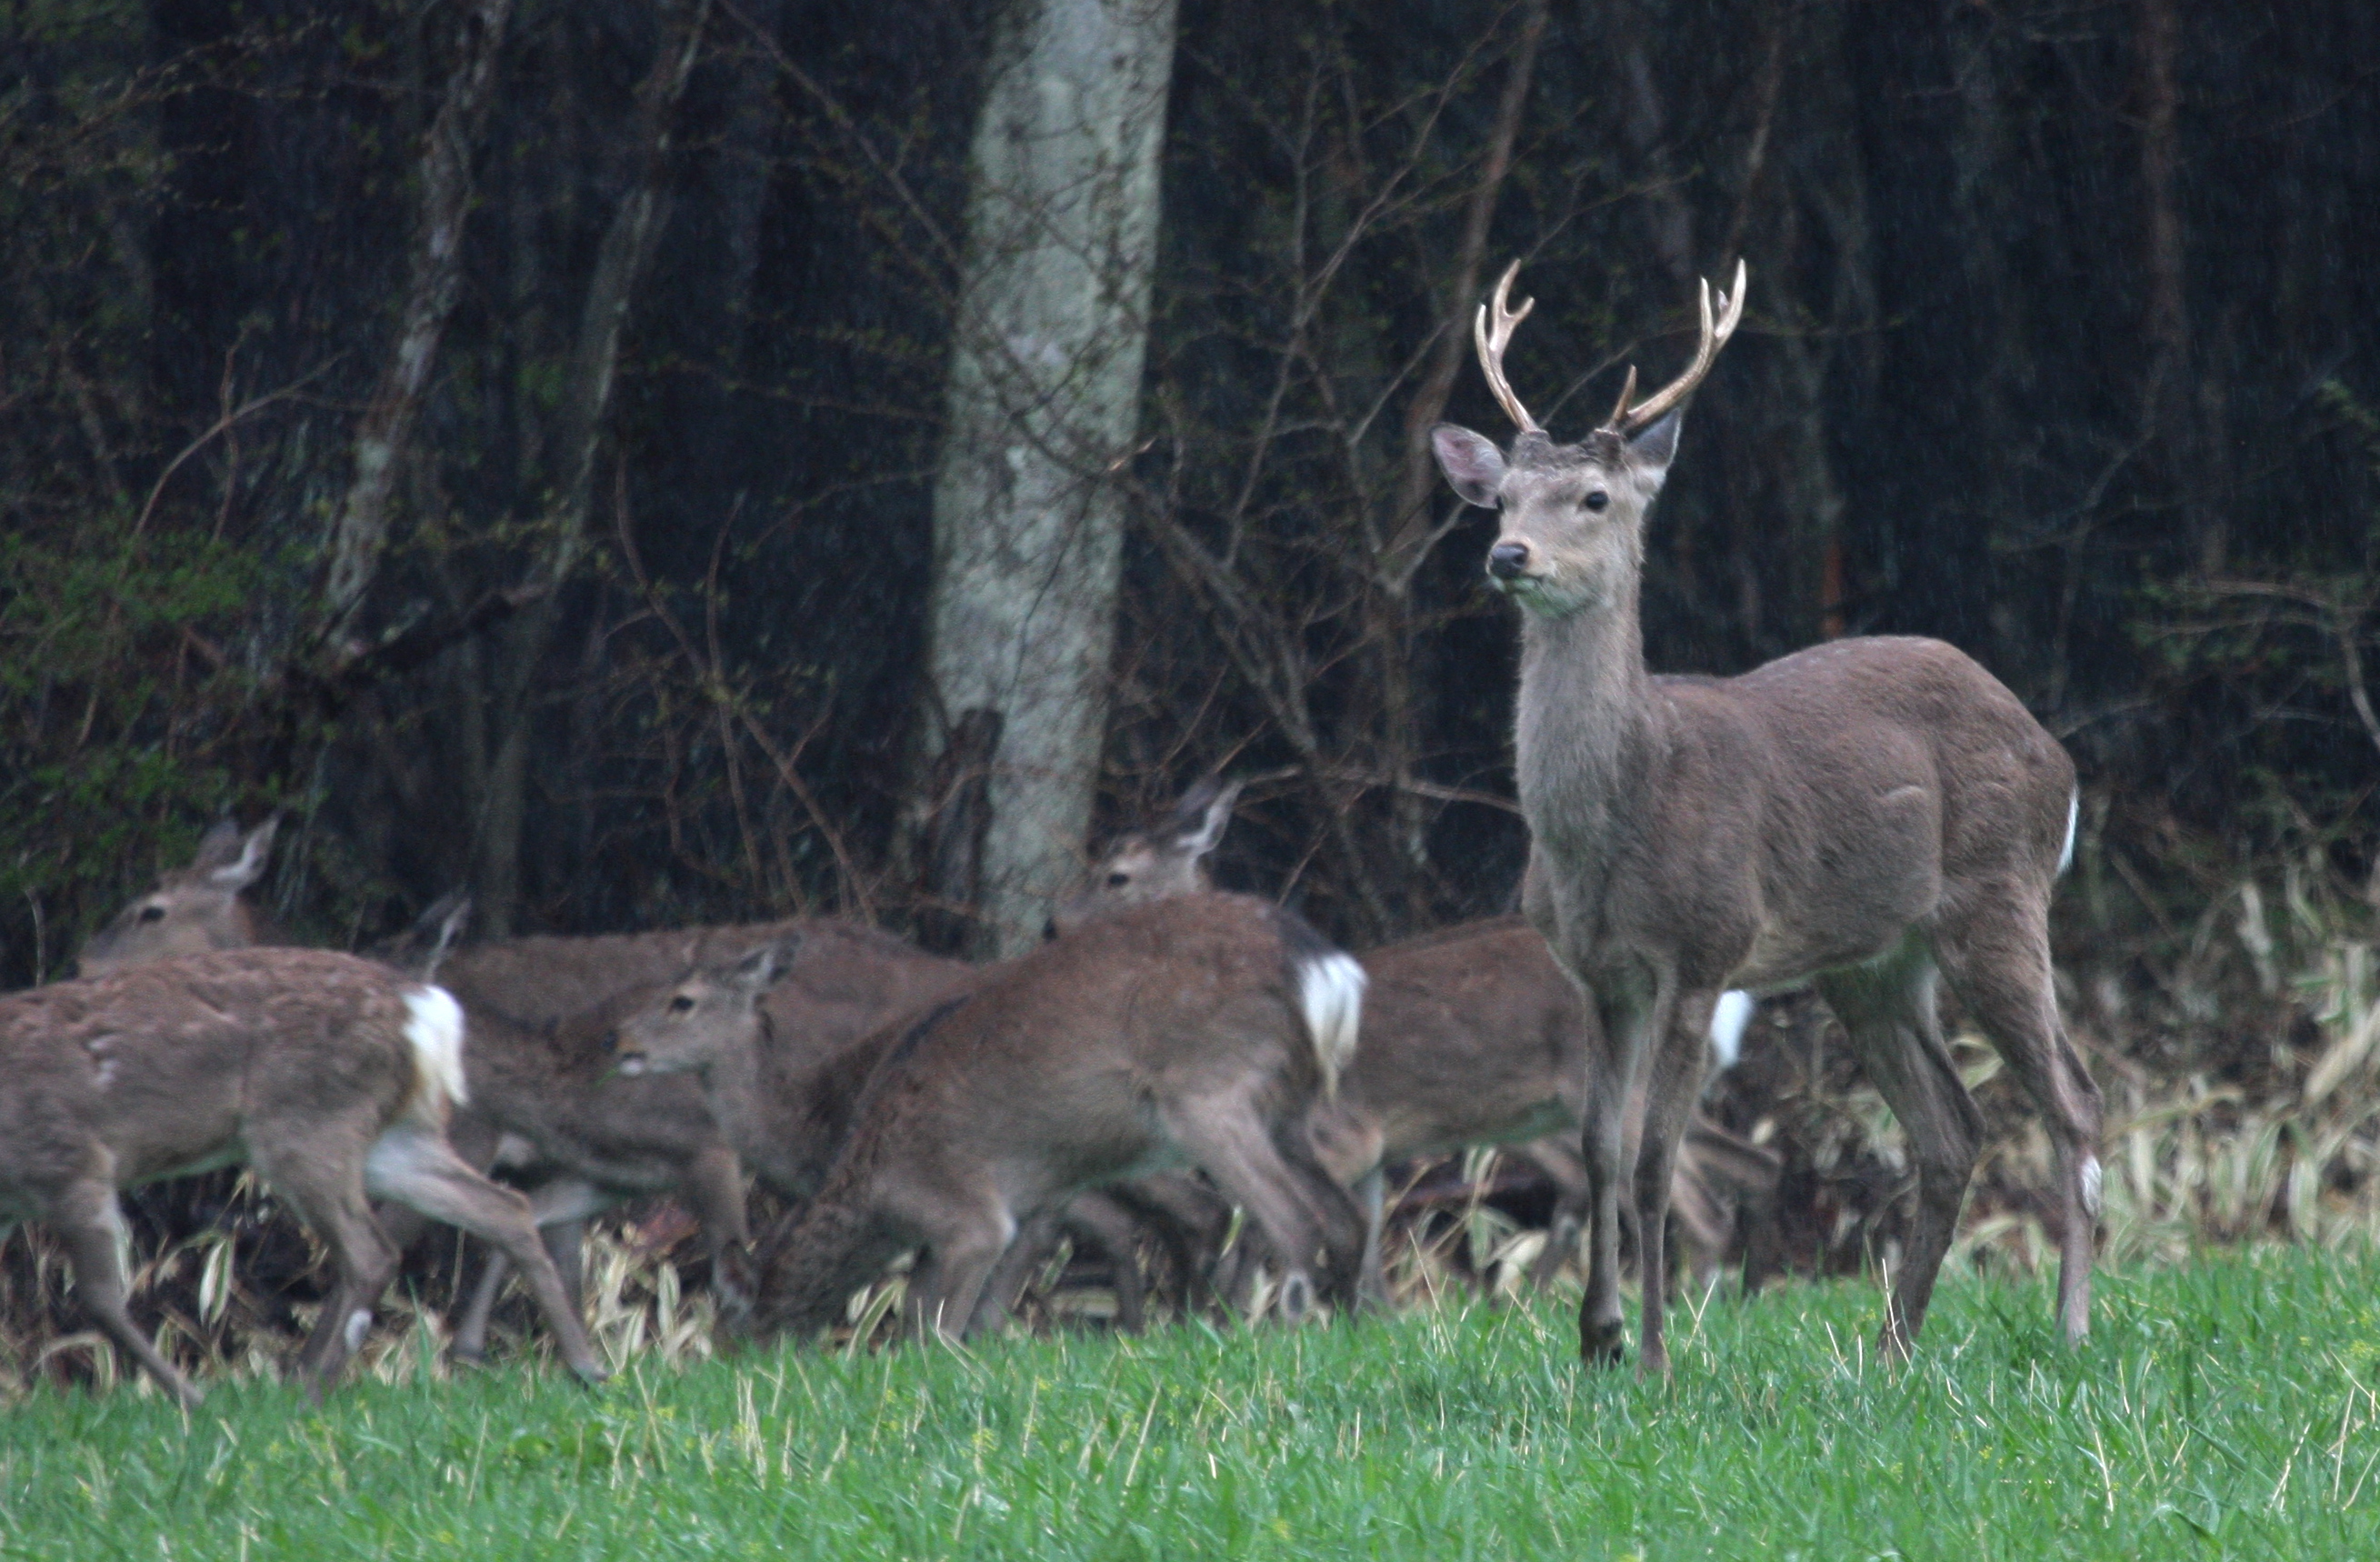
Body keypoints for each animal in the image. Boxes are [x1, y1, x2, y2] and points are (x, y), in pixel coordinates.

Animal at [0, 947, 604, 1409]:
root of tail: (424, 1010)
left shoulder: (72, 1163)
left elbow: (100, 1298)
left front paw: (192, 1400)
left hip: (305, 1125)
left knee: (371, 1250)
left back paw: (310, 1389)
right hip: (389, 1137)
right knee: (504, 1208)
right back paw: (585, 1367)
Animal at [614, 890, 1370, 1343]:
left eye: (681, 1001)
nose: (620, 1044)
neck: (809, 1121)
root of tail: (1322, 964)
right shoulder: (1041, 1187)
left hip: (1201, 1096)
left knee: (1281, 1217)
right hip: (1282, 1108)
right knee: (1336, 1218)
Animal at [1052, 781, 1780, 1305]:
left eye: (1116, 874)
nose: (1054, 925)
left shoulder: (1340, 1134)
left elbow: (1273, 1226)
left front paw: (1232, 1317)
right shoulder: (1372, 1152)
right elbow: (1360, 1245)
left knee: (1694, 1206)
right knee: (1745, 1168)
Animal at [1427, 262, 2104, 1371]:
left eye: (1594, 496)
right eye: (1502, 498)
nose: (1509, 555)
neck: (1618, 813)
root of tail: (2055, 753)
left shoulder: (1704, 947)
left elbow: (1655, 1157)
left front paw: (1656, 1355)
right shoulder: (1598, 973)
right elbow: (1598, 1145)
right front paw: (1596, 1337)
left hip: (1999, 894)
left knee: (2072, 1099)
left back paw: (2070, 1327)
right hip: (1871, 962)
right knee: (1950, 1129)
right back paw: (1892, 1347)